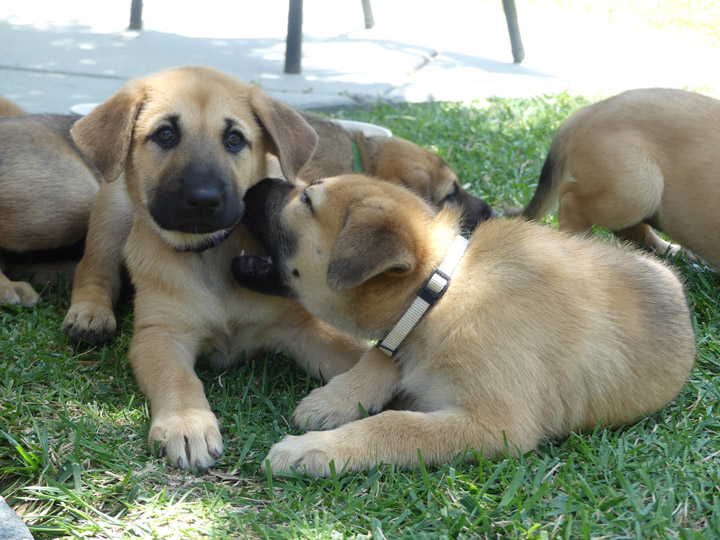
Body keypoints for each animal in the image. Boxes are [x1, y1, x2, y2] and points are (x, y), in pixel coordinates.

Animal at [67, 67, 368, 470]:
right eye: (165, 134)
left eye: (234, 139)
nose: (204, 200)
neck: (209, 255)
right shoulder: (160, 334)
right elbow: (178, 378)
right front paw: (186, 423)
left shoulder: (302, 327)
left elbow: (356, 356)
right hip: (112, 211)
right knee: (93, 269)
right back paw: (89, 314)